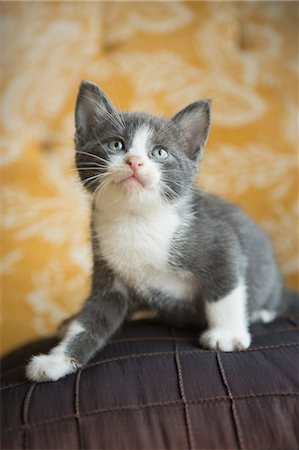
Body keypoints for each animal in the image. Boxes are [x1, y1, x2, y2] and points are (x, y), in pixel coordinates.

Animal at [25, 81, 284, 384]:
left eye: (159, 152)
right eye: (116, 144)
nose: (135, 161)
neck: (137, 221)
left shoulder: (219, 240)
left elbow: (225, 289)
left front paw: (227, 335)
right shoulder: (110, 279)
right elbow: (89, 322)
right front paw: (57, 360)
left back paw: (262, 312)